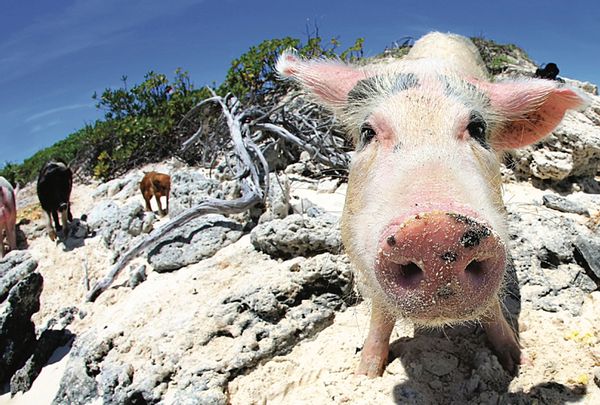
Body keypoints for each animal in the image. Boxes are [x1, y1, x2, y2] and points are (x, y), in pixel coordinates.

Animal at [278, 31, 588, 376]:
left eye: (478, 129)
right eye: (368, 132)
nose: (436, 228)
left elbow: (493, 307)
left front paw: (518, 364)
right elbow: (380, 312)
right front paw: (366, 373)